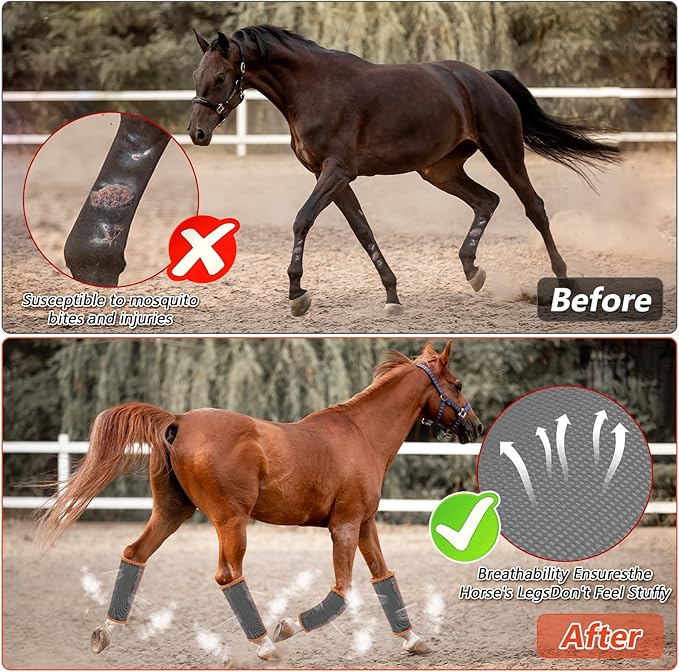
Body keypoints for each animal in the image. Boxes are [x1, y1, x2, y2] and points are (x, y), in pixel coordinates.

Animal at [38, 341, 482, 662]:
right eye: (458, 384)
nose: (476, 427)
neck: (361, 434)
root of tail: (177, 421)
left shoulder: (365, 523)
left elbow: (384, 577)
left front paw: (413, 639)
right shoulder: (344, 525)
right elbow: (343, 591)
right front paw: (287, 626)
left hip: (172, 512)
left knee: (135, 553)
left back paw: (106, 631)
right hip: (230, 521)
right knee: (228, 576)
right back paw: (265, 644)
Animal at [188, 25, 620, 317]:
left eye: (221, 77)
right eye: (196, 76)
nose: (197, 133)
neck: (314, 89)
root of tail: (485, 79)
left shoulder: (336, 171)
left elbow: (302, 219)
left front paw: (297, 294)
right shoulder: (330, 177)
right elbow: (362, 230)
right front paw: (392, 295)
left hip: (505, 153)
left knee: (534, 207)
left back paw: (563, 281)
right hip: (439, 170)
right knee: (487, 200)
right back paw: (472, 270)